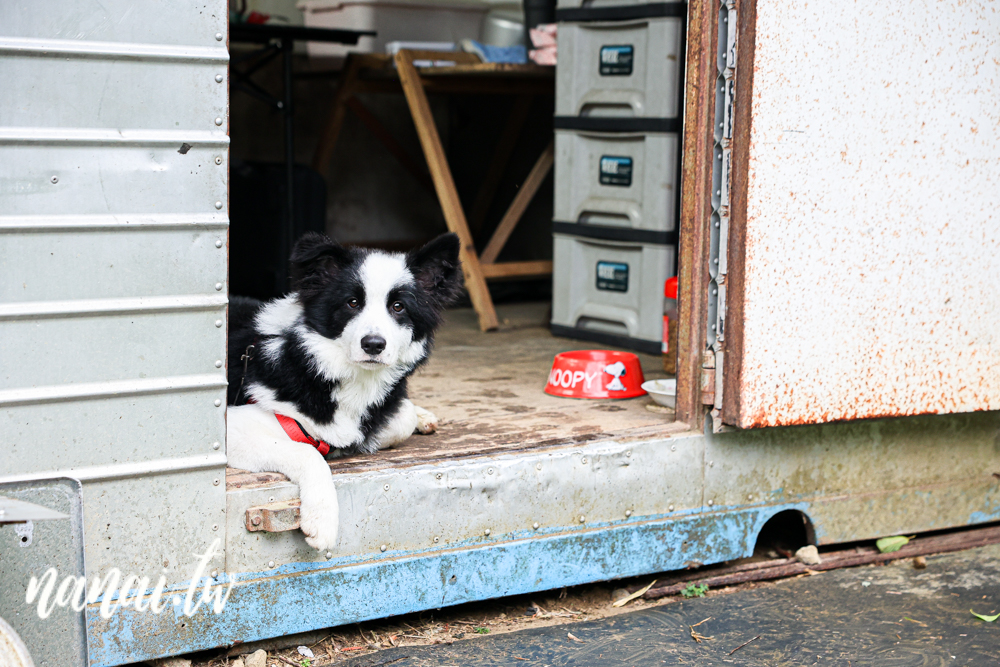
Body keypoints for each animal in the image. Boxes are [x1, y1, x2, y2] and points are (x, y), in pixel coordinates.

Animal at [226, 232, 460, 552]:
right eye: (352, 303)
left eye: (398, 307)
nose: (373, 344)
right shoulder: (231, 427)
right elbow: (307, 451)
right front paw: (322, 519)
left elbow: (398, 420)